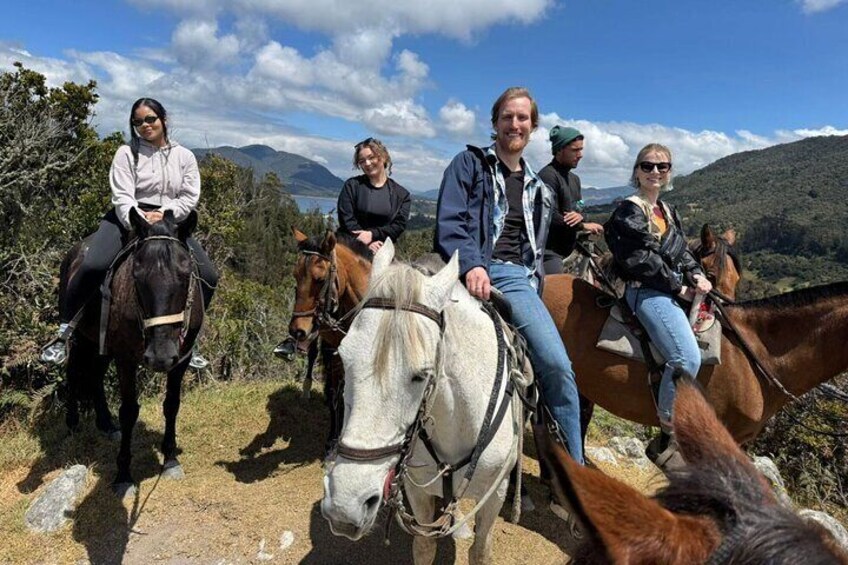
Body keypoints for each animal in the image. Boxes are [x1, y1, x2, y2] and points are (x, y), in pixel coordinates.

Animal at [63, 209, 205, 496]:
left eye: (186, 275)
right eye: (137, 277)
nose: (160, 356)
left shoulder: (181, 360)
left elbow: (172, 404)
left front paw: (170, 458)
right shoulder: (126, 359)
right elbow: (129, 411)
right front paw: (123, 475)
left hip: (101, 344)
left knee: (95, 375)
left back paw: (106, 424)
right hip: (82, 337)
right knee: (73, 371)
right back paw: (72, 423)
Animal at [288, 227, 372, 452]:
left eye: (319, 279)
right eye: (295, 275)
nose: (298, 331)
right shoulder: (334, 354)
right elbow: (337, 394)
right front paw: (333, 440)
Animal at [322, 240, 528, 560]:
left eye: (421, 375)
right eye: (343, 357)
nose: (345, 507)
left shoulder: (495, 494)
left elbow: (480, 550)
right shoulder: (418, 492)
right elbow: (424, 546)